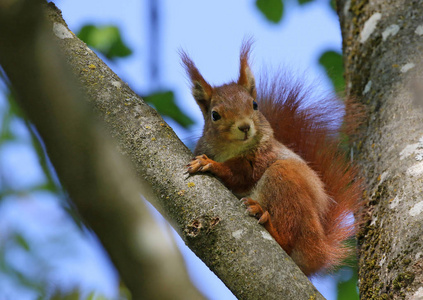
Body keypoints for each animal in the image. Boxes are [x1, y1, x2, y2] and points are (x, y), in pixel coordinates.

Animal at [181, 41, 362, 276]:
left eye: (255, 104)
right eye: (215, 115)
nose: (245, 127)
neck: (231, 149)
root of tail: (319, 248)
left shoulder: (261, 158)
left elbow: (239, 174)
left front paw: (209, 164)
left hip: (284, 180)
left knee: (286, 239)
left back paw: (265, 221)